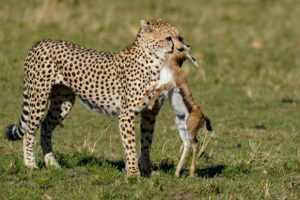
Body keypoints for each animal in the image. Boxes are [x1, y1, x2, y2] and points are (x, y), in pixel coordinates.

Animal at [4, 18, 188, 175]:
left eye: (179, 37)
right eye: (168, 38)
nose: (183, 48)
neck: (156, 62)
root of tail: (41, 42)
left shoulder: (150, 114)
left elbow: (146, 142)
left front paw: (148, 170)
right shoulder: (126, 114)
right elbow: (131, 145)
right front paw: (133, 174)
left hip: (64, 102)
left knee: (45, 127)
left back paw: (52, 163)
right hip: (39, 97)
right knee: (29, 131)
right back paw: (30, 164)